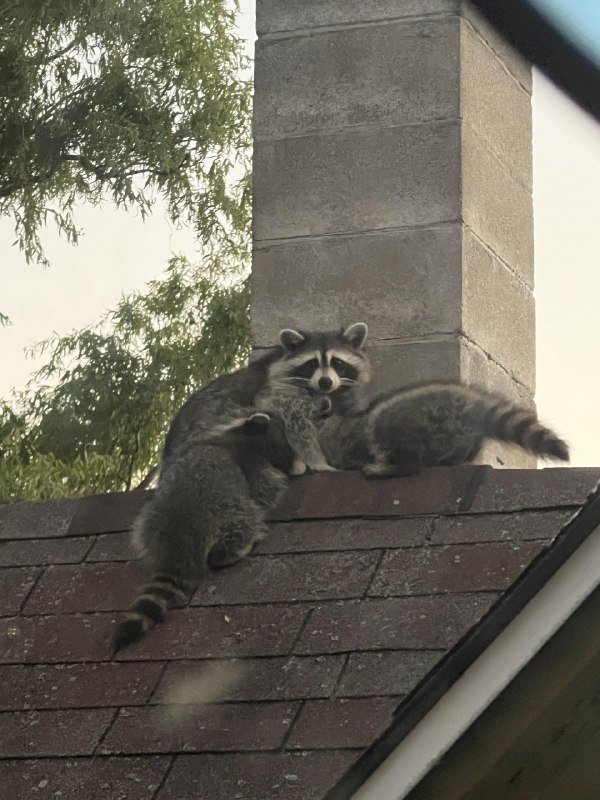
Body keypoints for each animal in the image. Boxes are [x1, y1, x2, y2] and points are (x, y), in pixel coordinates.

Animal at [112, 410, 296, 652]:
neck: (243, 435)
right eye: (284, 444)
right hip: (225, 514)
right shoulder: (253, 466)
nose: (297, 464)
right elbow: (265, 489)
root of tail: (176, 547)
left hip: (148, 519)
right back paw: (233, 551)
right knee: (242, 525)